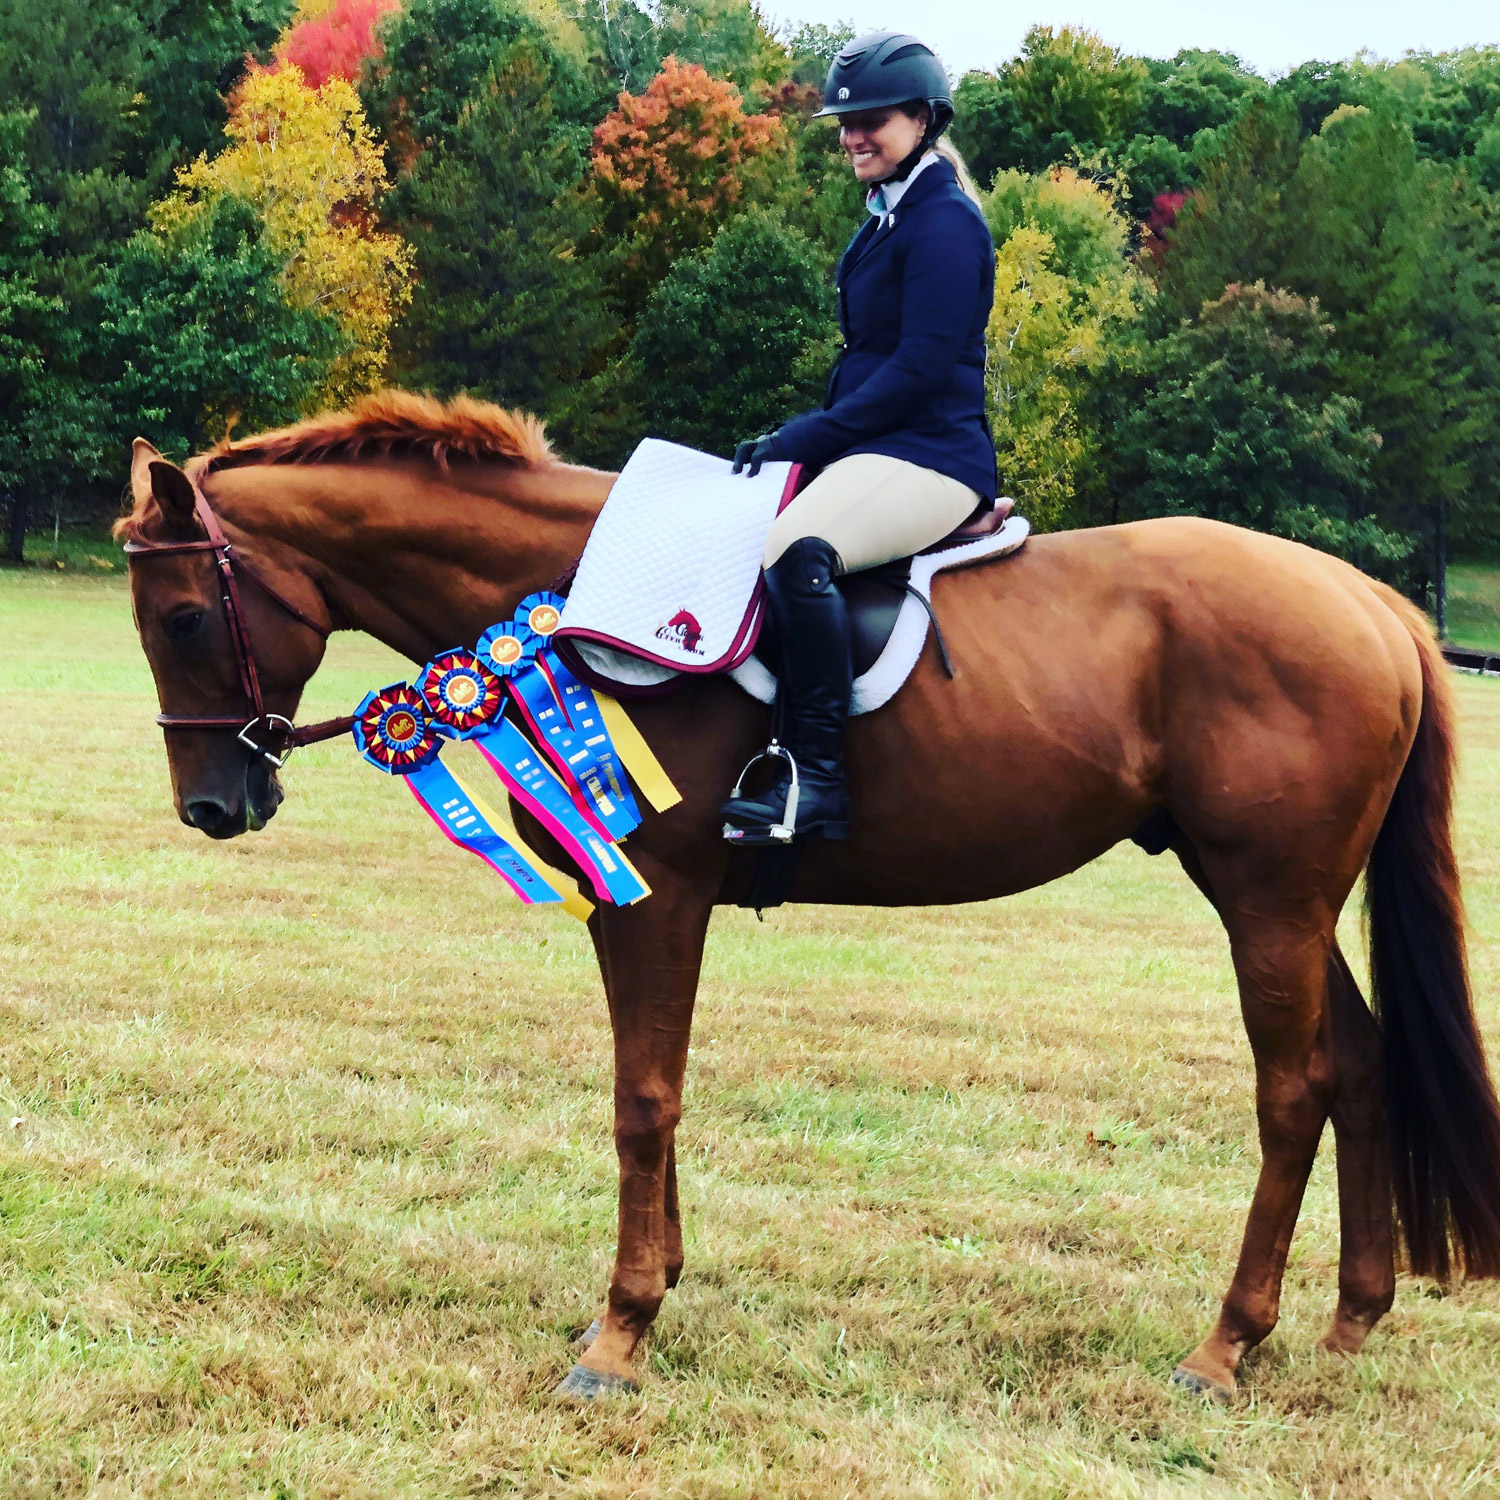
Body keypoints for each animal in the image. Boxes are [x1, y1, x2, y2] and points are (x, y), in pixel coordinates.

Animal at [120, 393, 1500, 1398]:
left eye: (184, 617)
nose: (211, 808)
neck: (566, 604)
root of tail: (1367, 598)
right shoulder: (630, 893)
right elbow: (648, 1088)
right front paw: (655, 1288)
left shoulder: (657, 896)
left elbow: (643, 1097)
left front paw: (620, 1334)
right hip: (1276, 899)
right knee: (1361, 1066)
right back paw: (1348, 1321)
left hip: (1269, 902)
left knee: (1295, 1092)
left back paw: (1224, 1347)